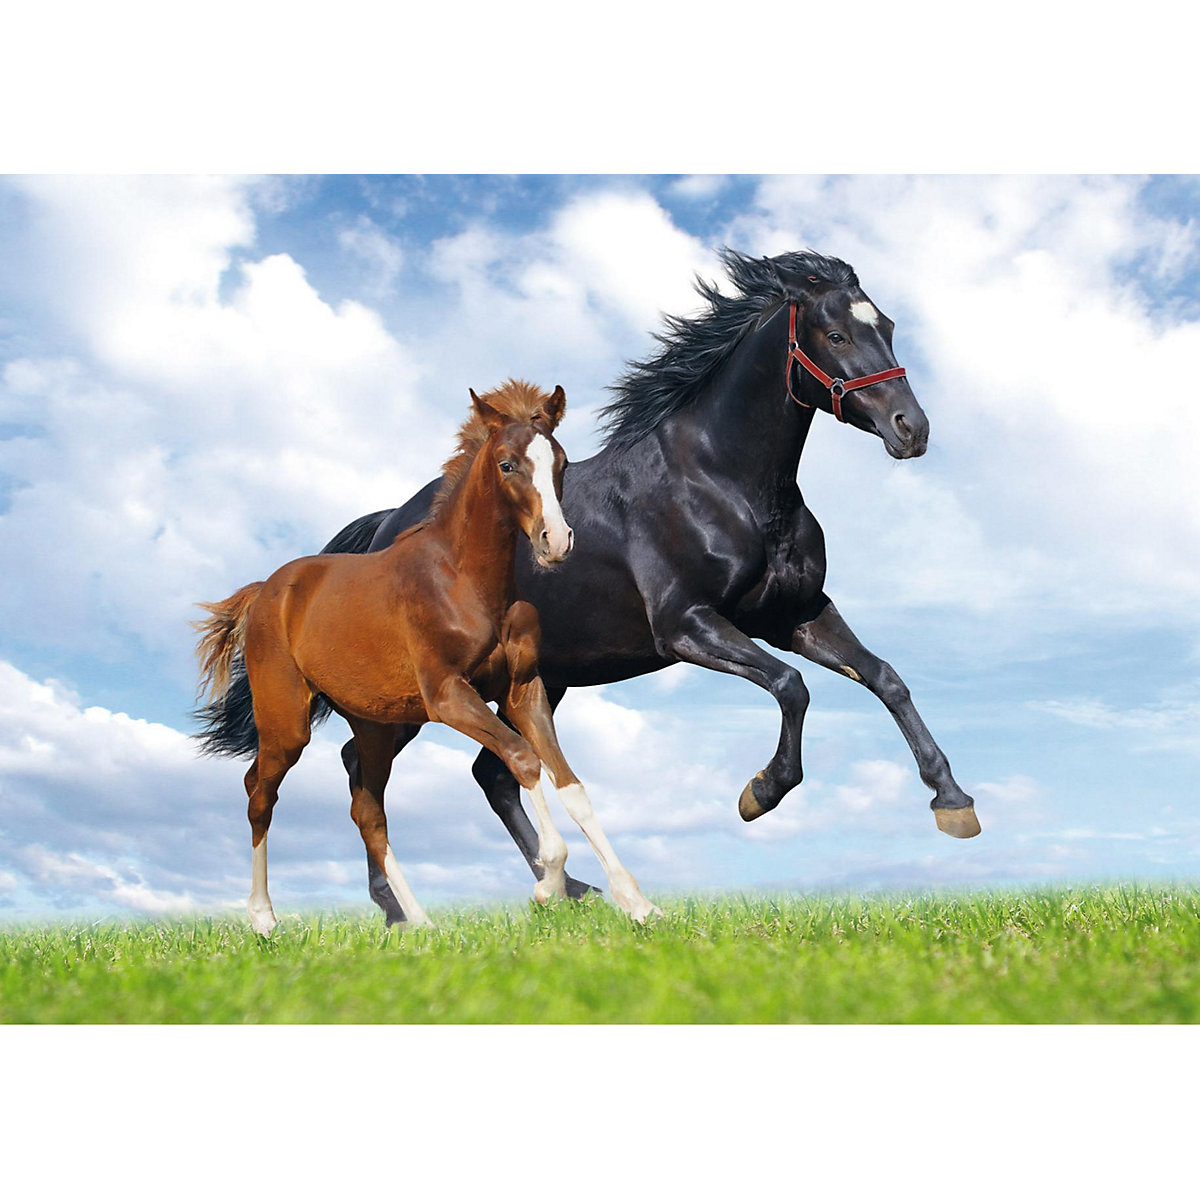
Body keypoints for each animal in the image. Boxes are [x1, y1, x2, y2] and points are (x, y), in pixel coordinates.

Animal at [193, 380, 660, 931]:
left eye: (561, 462)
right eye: (506, 464)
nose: (556, 541)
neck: (465, 582)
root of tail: (266, 590)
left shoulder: (523, 690)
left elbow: (569, 784)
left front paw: (637, 902)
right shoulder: (448, 696)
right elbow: (523, 760)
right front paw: (549, 883)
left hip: (372, 725)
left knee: (367, 811)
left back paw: (418, 921)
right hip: (288, 722)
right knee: (260, 793)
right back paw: (265, 918)